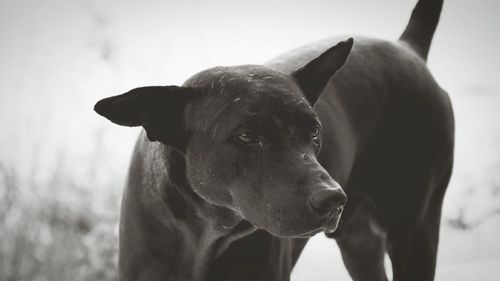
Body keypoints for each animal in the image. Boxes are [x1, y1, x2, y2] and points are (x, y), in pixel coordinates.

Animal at [95, 0, 456, 280]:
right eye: (247, 136)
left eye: (314, 131)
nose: (332, 199)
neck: (205, 234)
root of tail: (407, 46)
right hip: (360, 244)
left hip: (414, 234)